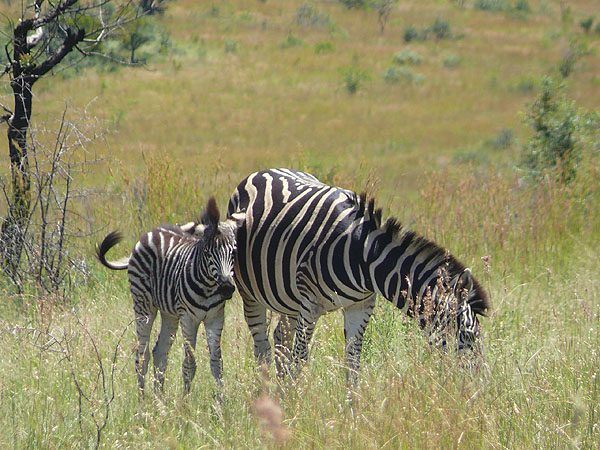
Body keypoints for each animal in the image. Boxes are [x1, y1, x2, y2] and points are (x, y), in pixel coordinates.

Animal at [96, 199, 244, 396]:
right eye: (207, 253)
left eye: (233, 252)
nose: (227, 288)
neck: (209, 287)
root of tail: (151, 232)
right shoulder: (188, 319)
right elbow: (189, 363)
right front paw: (186, 401)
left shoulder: (216, 317)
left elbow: (217, 363)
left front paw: (222, 401)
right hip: (143, 304)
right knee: (142, 355)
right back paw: (143, 401)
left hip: (170, 313)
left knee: (159, 353)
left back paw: (159, 399)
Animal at [227, 168, 490, 384]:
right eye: (468, 335)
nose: (481, 384)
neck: (365, 256)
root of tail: (262, 171)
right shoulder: (310, 305)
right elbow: (299, 359)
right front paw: (293, 407)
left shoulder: (360, 305)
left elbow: (353, 362)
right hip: (251, 292)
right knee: (262, 346)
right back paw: (267, 395)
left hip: (288, 298)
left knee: (280, 336)